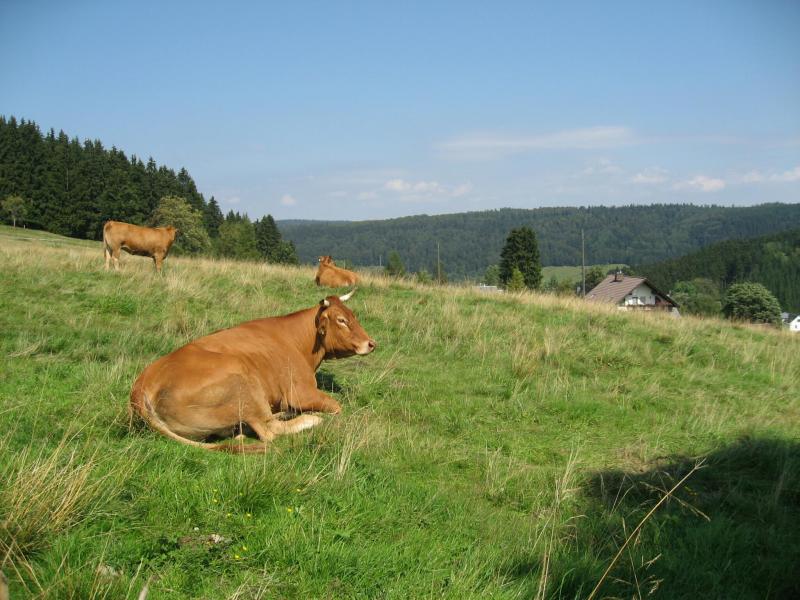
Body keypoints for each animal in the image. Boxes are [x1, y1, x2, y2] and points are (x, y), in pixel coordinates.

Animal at [130, 290, 376, 453]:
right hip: (243, 381)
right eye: (341, 320)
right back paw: (308, 418)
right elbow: (336, 406)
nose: (371, 343)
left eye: (353, 316)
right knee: (269, 430)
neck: (302, 343)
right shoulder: (301, 392)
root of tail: (142, 384)